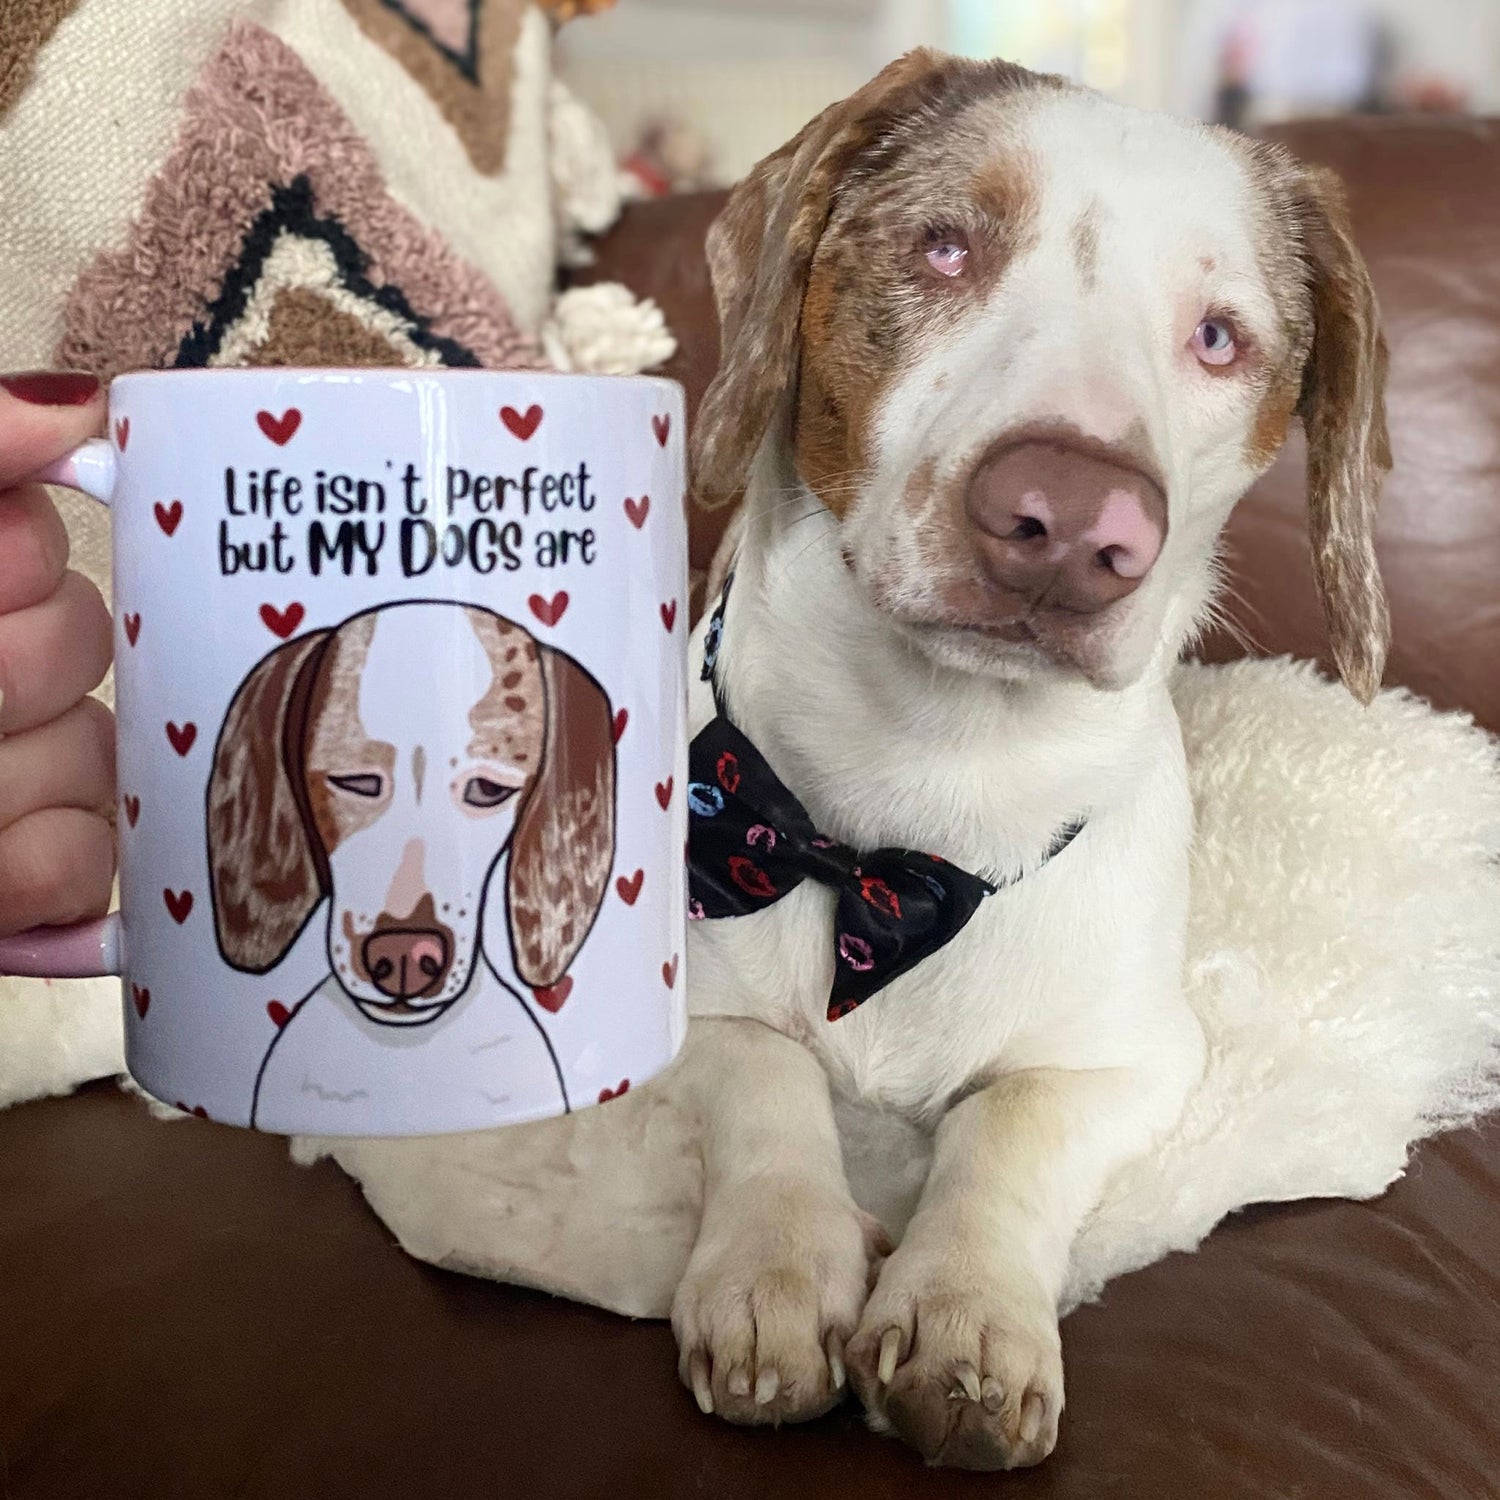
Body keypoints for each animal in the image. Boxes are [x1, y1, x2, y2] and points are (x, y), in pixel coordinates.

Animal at [672, 52, 1392, 1470]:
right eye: (946, 246)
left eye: (1220, 336)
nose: (1067, 522)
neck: (922, 791)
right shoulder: (682, 1000)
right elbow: (767, 1081)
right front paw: (776, 1271)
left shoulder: (1132, 1059)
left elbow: (1010, 1125)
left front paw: (967, 1313)